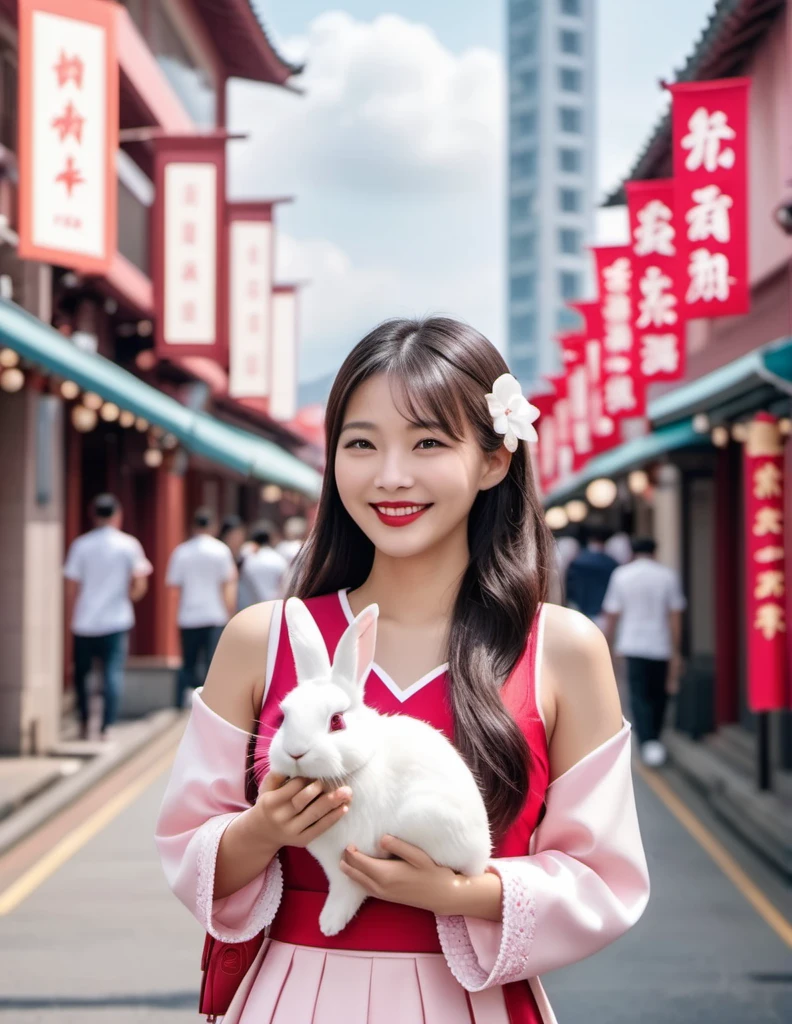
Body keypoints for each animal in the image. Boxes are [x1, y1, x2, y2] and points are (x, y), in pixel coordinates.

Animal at [266, 598, 487, 937]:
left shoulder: (349, 858)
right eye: (284, 716)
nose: (295, 752)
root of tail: (483, 854)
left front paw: (329, 924)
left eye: (336, 721)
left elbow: (347, 889)